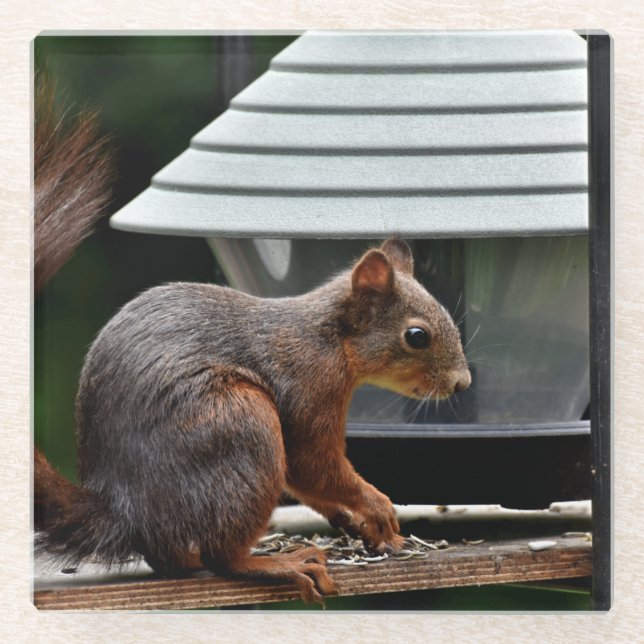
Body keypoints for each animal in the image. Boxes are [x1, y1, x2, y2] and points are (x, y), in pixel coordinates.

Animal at [33, 82, 471, 609]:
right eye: (416, 336)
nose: (462, 382)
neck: (330, 340)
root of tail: (128, 512)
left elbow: (308, 482)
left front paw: (356, 521)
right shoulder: (307, 388)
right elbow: (313, 464)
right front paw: (377, 506)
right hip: (242, 426)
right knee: (224, 557)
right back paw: (280, 563)